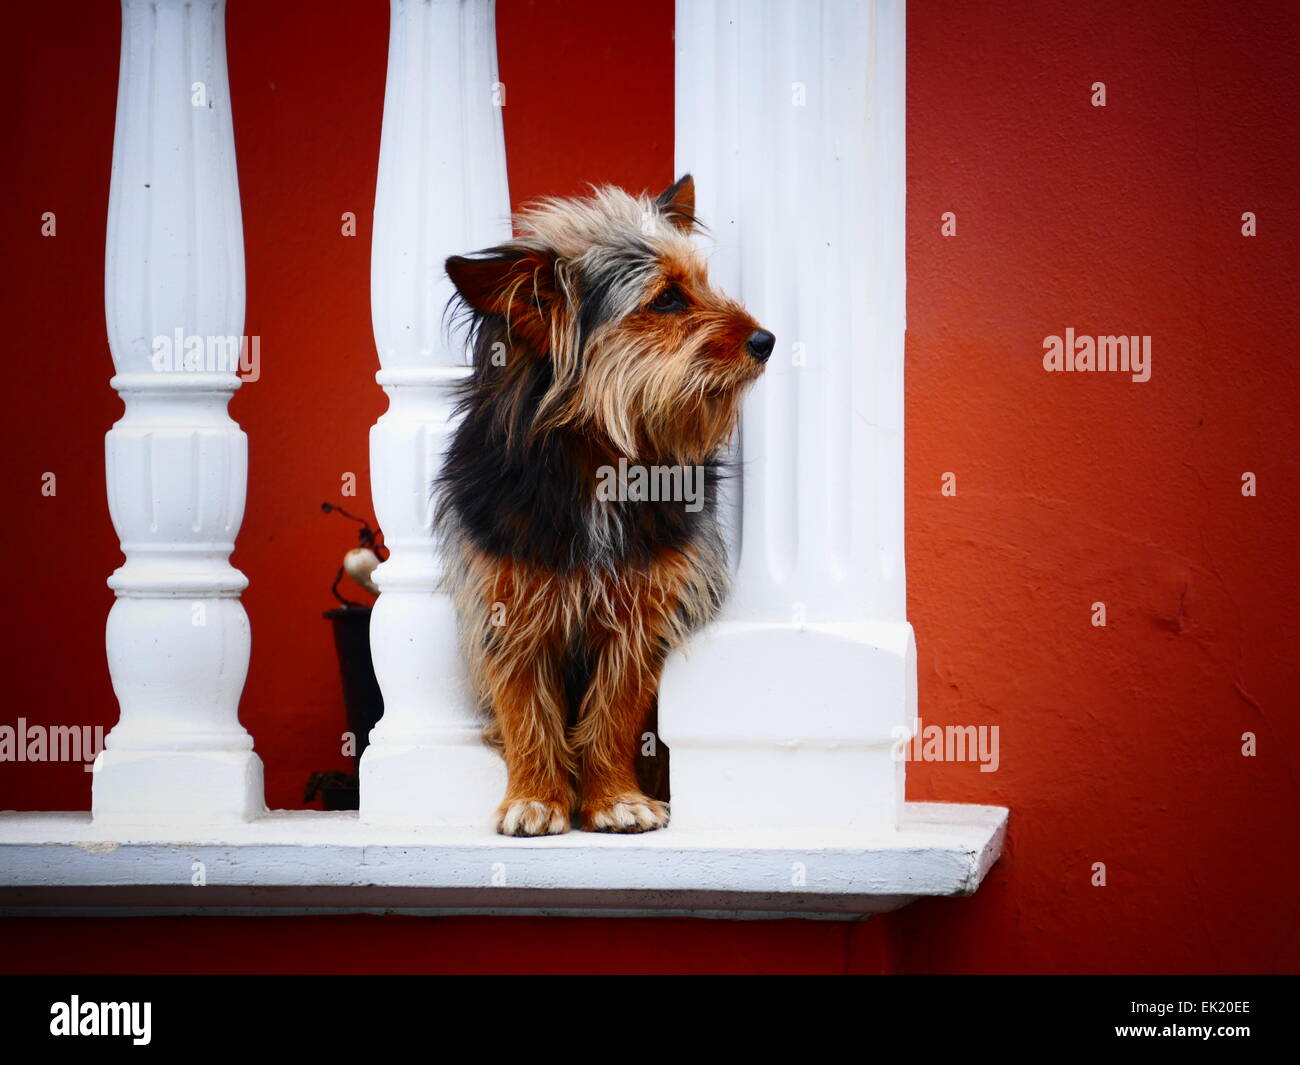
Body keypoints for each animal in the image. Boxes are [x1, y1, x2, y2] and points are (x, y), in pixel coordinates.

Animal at [436, 179, 769, 837]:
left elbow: (617, 711)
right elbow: (524, 708)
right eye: (667, 300)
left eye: (702, 283)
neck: (600, 463)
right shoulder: (506, 605)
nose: (766, 341)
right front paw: (535, 797)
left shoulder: (646, 610)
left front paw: (615, 798)